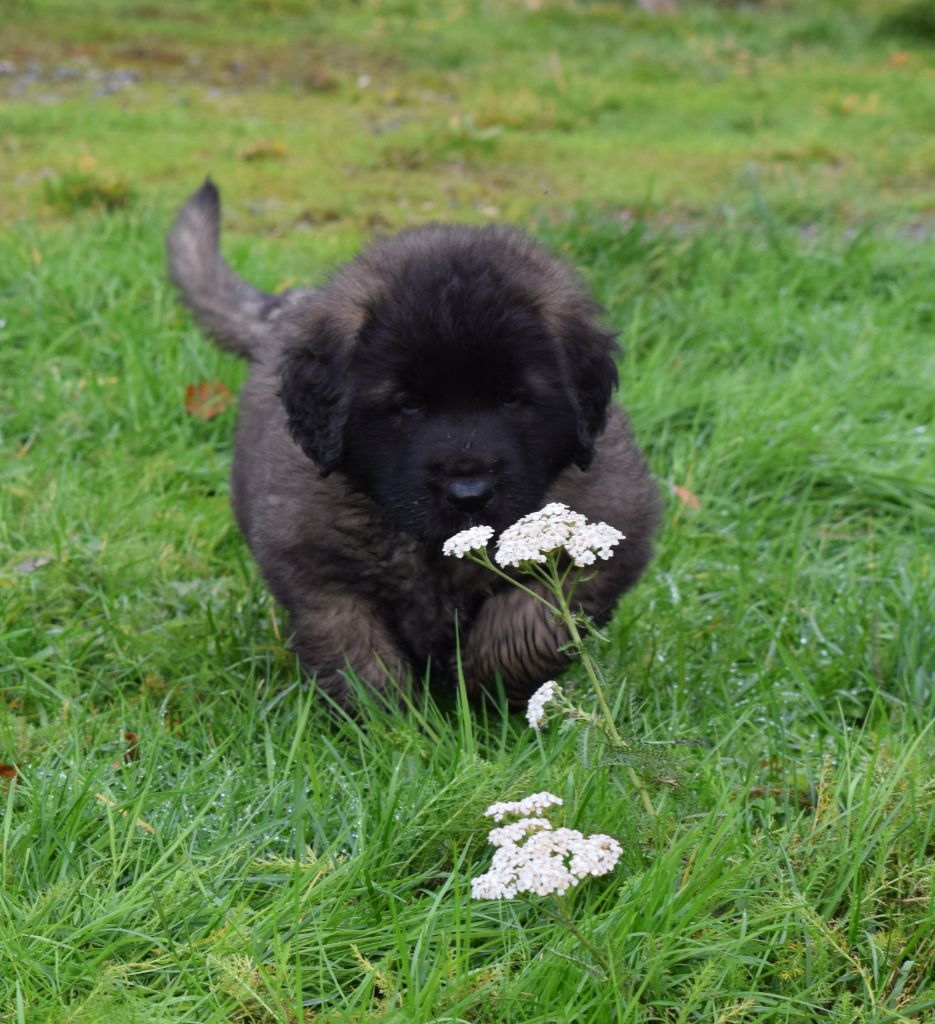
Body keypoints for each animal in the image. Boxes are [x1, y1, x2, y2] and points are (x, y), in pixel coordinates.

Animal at [170, 180, 663, 708]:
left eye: (512, 398)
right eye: (408, 404)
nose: (469, 494)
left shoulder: (599, 540)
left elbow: (528, 623)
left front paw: (485, 689)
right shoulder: (321, 575)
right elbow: (358, 656)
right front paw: (392, 722)